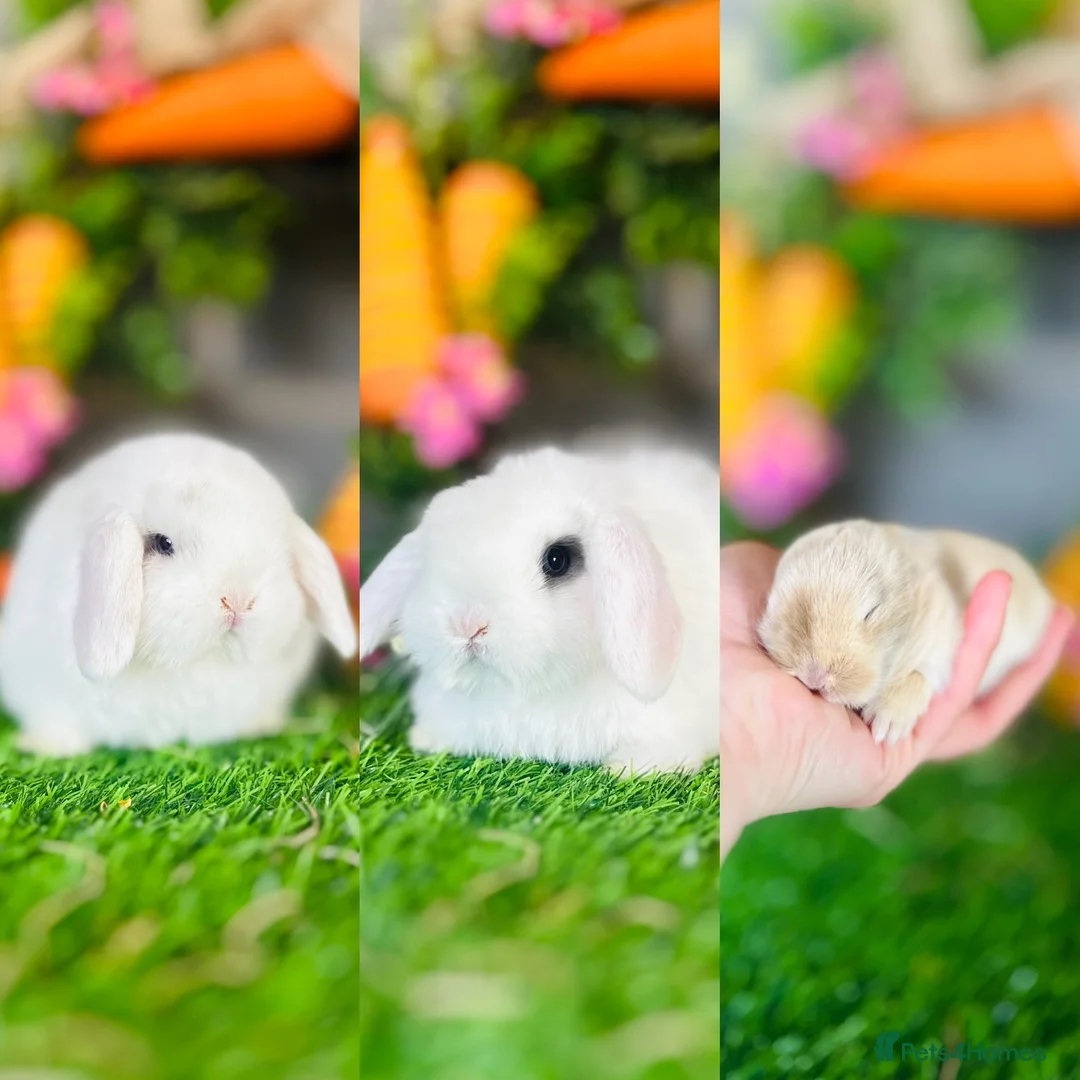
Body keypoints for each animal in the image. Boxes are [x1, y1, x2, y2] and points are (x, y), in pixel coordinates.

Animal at [757, 519, 1055, 746]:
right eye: (775, 604)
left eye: (871, 611)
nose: (815, 678)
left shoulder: (939, 636)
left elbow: (918, 675)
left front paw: (886, 725)